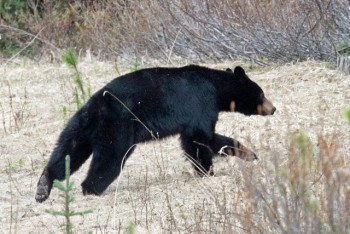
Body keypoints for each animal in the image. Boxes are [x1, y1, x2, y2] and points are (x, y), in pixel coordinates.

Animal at [35, 65, 276, 202]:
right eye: (261, 93)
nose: (273, 108)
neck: (217, 88)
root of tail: (93, 108)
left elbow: (209, 139)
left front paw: (250, 154)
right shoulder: (201, 102)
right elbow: (199, 138)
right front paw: (207, 171)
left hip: (78, 128)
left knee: (67, 153)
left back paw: (43, 186)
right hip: (116, 129)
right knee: (109, 160)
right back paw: (91, 189)